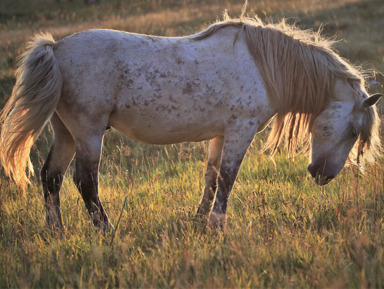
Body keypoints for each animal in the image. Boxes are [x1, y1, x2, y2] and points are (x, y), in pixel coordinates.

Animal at [0, 15, 380, 232]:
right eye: (351, 130)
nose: (323, 175)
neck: (263, 66)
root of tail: (56, 48)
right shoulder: (240, 130)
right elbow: (228, 177)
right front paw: (217, 225)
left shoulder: (219, 135)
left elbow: (211, 178)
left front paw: (199, 222)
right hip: (88, 132)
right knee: (85, 181)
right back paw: (106, 231)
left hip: (65, 132)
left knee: (51, 177)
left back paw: (56, 232)